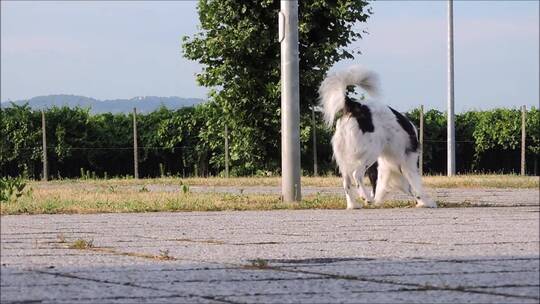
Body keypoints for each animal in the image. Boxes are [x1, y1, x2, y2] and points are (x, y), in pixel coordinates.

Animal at [318, 66, 436, 209]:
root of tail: (355, 105)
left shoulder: (387, 167)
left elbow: (388, 186)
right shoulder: (407, 163)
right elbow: (415, 184)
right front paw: (425, 202)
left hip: (345, 156)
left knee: (346, 181)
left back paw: (353, 205)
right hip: (371, 152)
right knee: (356, 174)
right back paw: (366, 197)